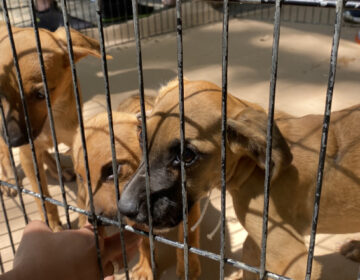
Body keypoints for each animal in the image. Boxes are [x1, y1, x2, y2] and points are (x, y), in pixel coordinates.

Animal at [0, 23, 103, 230]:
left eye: (41, 94)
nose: (14, 140)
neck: (51, 117)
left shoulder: (75, 142)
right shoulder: (27, 153)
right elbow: (43, 198)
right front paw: (53, 226)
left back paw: (58, 170)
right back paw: (8, 179)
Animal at [72, 95, 202, 278]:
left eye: (112, 169)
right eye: (80, 177)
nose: (93, 219)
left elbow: (188, 239)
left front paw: (188, 269)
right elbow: (145, 243)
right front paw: (146, 268)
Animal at [117, 79, 360, 280]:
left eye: (187, 156)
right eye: (141, 135)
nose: (124, 208)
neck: (252, 166)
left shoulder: (293, 263)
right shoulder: (260, 240)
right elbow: (249, 254)